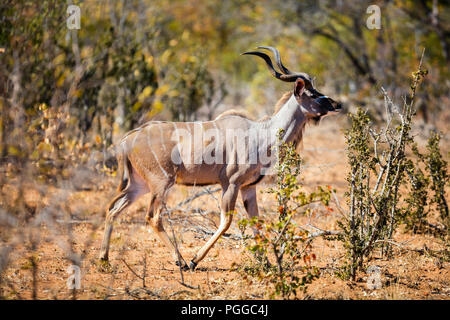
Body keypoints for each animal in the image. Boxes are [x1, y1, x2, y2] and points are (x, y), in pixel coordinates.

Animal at [100, 45, 342, 270]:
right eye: (313, 94)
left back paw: (104, 259)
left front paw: (265, 262)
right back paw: (181, 261)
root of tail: (128, 139)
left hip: (139, 185)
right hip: (162, 184)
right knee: (153, 217)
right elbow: (226, 221)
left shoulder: (248, 187)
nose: (337, 104)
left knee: (113, 209)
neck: (262, 133)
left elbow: (256, 222)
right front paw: (194, 260)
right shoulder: (231, 184)